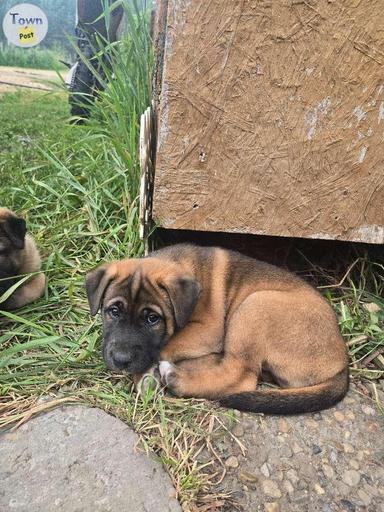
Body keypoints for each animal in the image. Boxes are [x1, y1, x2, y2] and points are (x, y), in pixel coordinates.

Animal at [85, 242, 350, 414]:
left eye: (152, 319)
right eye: (114, 311)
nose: (120, 360)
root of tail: (342, 364)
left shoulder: (208, 330)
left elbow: (167, 344)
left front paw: (145, 374)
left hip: (254, 306)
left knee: (240, 375)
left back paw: (176, 377)